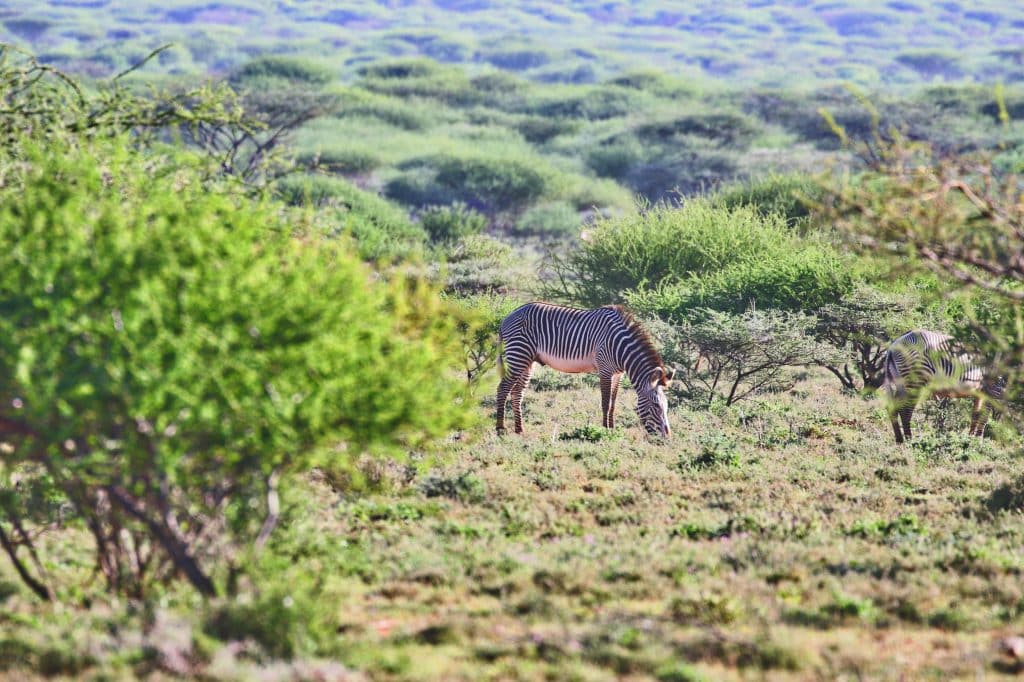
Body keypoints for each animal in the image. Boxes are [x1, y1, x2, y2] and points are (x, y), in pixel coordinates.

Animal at [493, 301, 671, 436]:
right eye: (656, 406)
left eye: (666, 406)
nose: (666, 437)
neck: (621, 346)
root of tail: (507, 317)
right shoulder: (605, 370)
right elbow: (605, 403)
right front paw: (605, 430)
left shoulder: (617, 374)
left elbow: (613, 403)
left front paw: (612, 428)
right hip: (518, 354)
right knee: (503, 389)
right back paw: (500, 428)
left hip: (527, 361)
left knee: (517, 393)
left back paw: (519, 429)